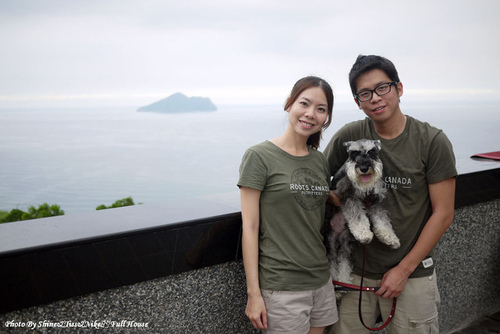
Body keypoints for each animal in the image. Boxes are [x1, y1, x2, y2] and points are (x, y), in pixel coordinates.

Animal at [322, 138, 400, 290]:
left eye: (372, 151)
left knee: (344, 260)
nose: (364, 167)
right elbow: (357, 216)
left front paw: (390, 238)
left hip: (346, 241)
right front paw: (364, 234)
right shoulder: (348, 196)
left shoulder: (375, 201)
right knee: (332, 261)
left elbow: (382, 221)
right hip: (330, 241)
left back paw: (343, 283)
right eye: (354, 153)